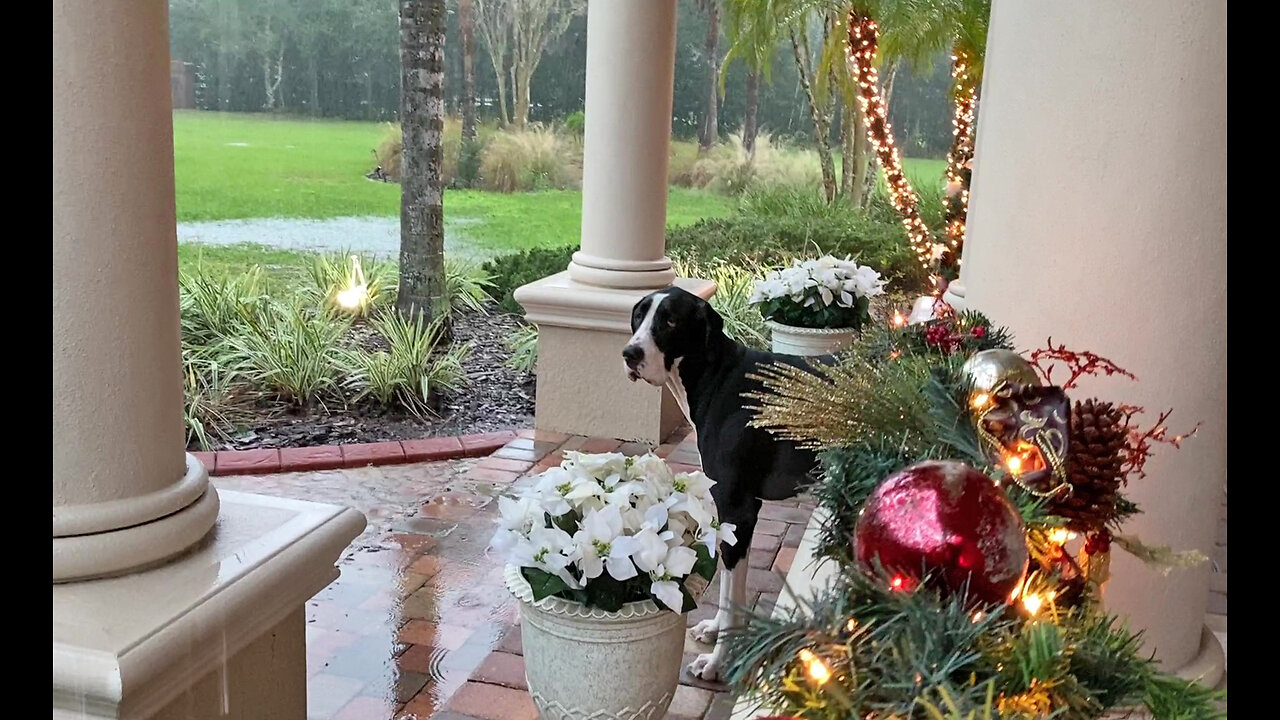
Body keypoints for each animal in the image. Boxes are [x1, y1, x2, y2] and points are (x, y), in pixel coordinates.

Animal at [619, 284, 819, 676]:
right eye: (639, 315)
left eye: (670, 320)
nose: (630, 354)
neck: (717, 378)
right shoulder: (741, 516)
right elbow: (732, 591)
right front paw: (716, 634)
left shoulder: (737, 509)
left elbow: (727, 589)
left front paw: (717, 662)